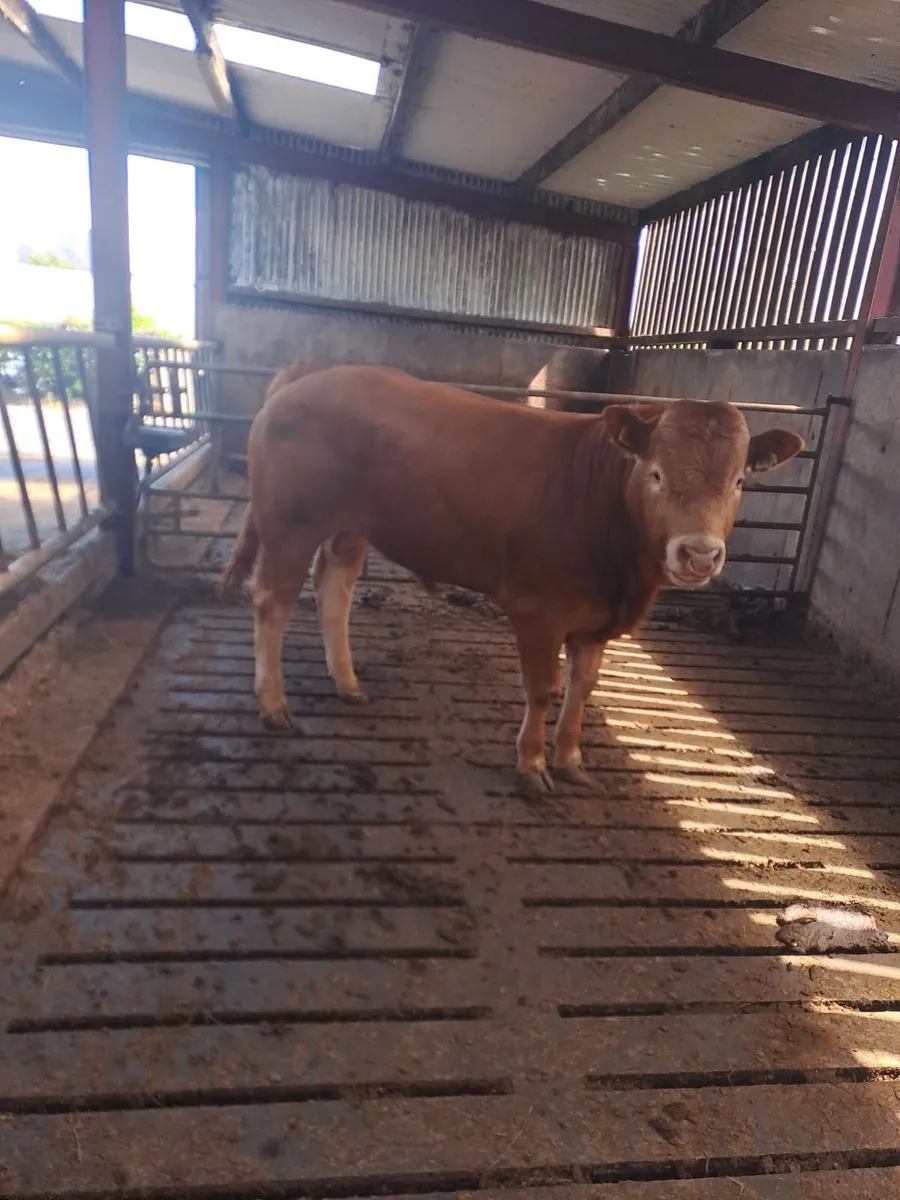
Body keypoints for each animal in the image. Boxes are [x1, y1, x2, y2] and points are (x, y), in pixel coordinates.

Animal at [220, 364, 803, 797]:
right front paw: (532, 766)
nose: (699, 554)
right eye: (656, 473)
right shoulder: (537, 609)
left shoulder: (595, 621)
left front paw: (571, 761)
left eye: (739, 481)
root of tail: (308, 374)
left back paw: (347, 683)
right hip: (291, 521)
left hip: (349, 527)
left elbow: (582, 689)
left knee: (334, 588)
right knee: (272, 600)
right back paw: (274, 706)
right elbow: (543, 689)